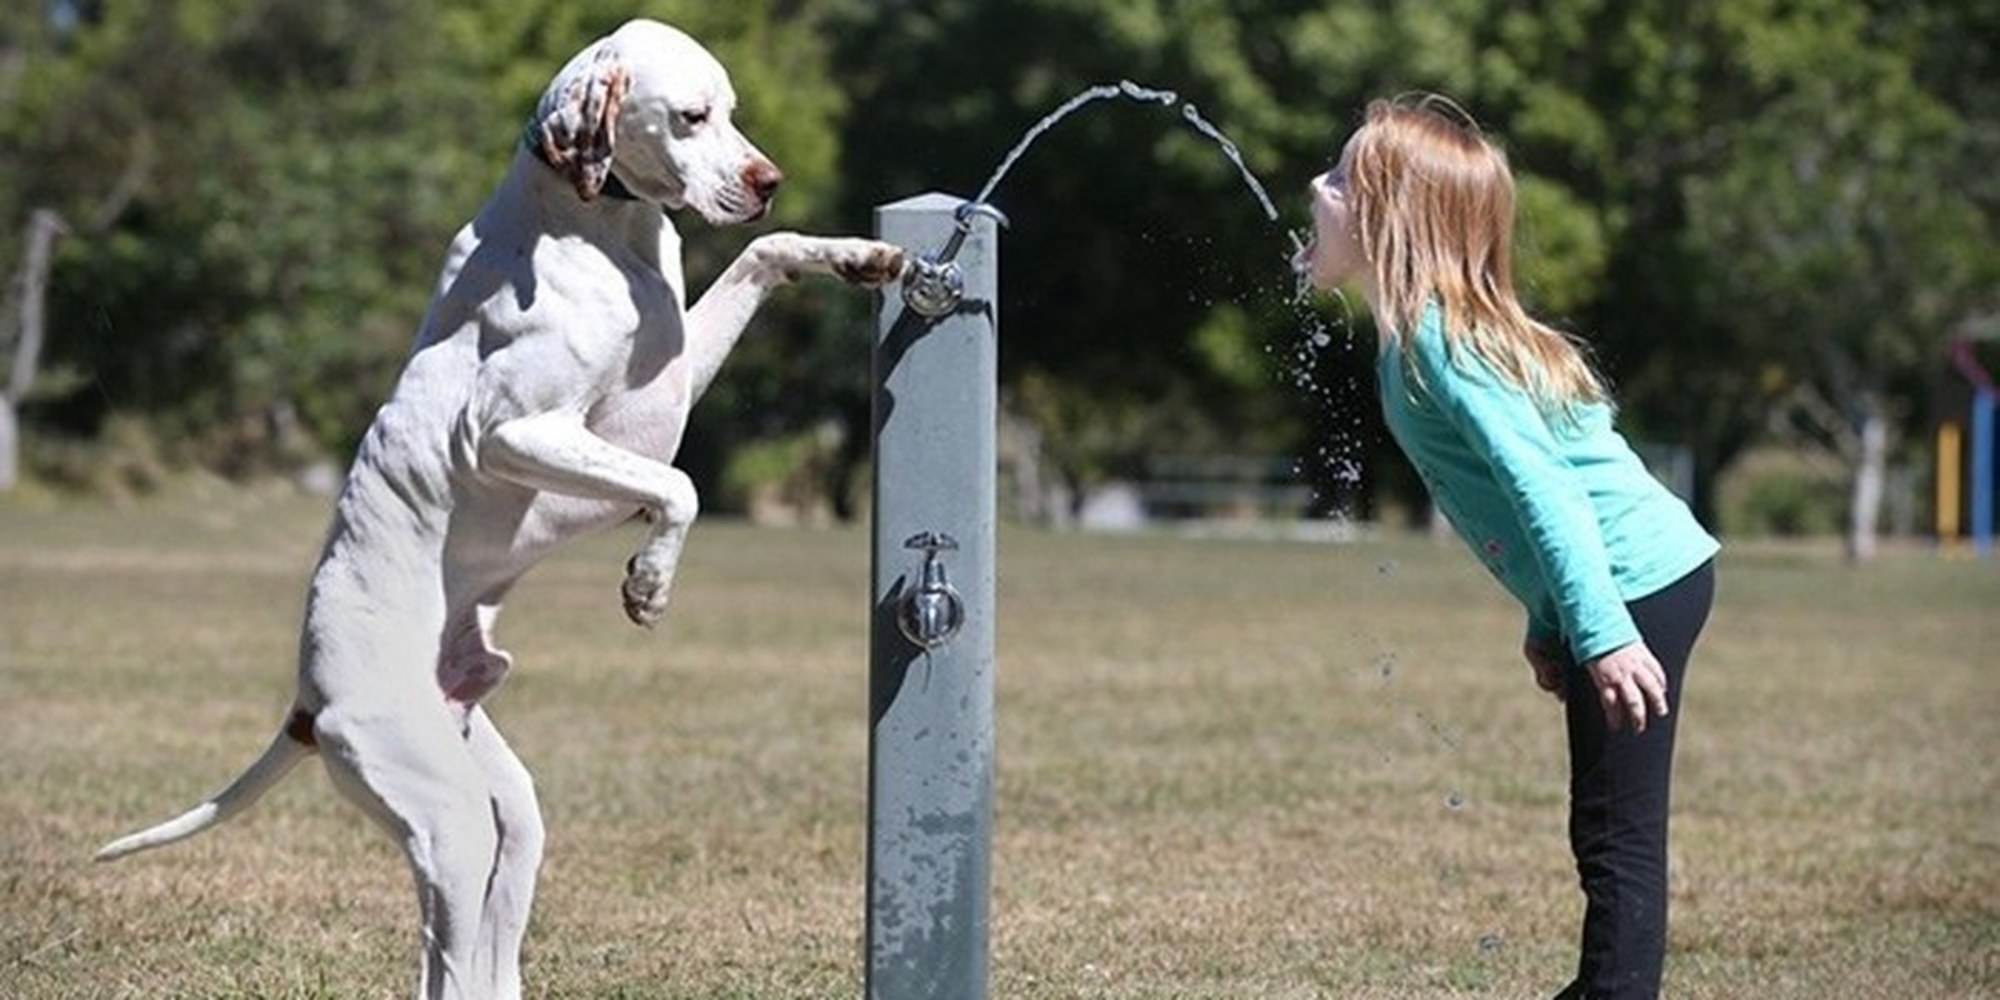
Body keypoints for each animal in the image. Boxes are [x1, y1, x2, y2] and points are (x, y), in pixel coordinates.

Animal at [94, 21, 904, 1000]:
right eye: (690, 116)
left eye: (733, 111)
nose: (767, 178)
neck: (599, 225)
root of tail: (308, 700)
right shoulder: (515, 431)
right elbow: (678, 487)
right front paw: (649, 583)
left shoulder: (663, 393)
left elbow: (762, 255)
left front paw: (854, 256)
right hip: (450, 824)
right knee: (440, 967)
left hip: (508, 818)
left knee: (485, 954)